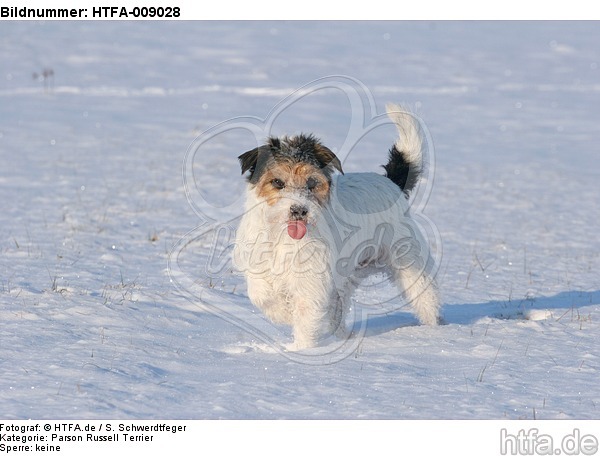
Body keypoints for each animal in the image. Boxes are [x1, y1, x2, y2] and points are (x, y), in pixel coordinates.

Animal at [233, 104, 440, 350]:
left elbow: (306, 315)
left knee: (426, 298)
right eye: (277, 182)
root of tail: (391, 183)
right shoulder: (259, 266)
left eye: (312, 183)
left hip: (409, 264)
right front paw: (283, 313)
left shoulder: (311, 281)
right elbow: (261, 294)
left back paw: (435, 333)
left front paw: (301, 350)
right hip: (347, 278)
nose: (299, 210)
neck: (282, 235)